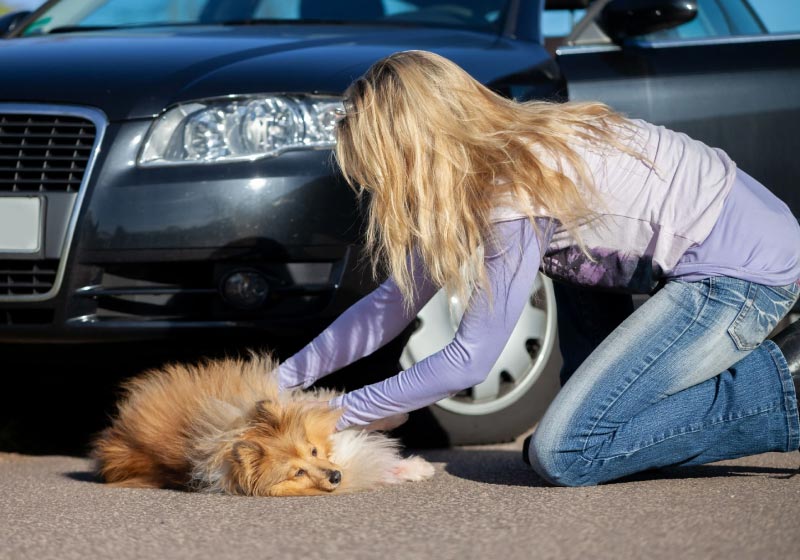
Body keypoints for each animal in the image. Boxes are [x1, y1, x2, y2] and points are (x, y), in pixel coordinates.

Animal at [92, 352, 438, 496]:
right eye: (297, 473)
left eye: (313, 451)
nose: (336, 476)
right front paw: (416, 468)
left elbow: (329, 407)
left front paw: (398, 418)